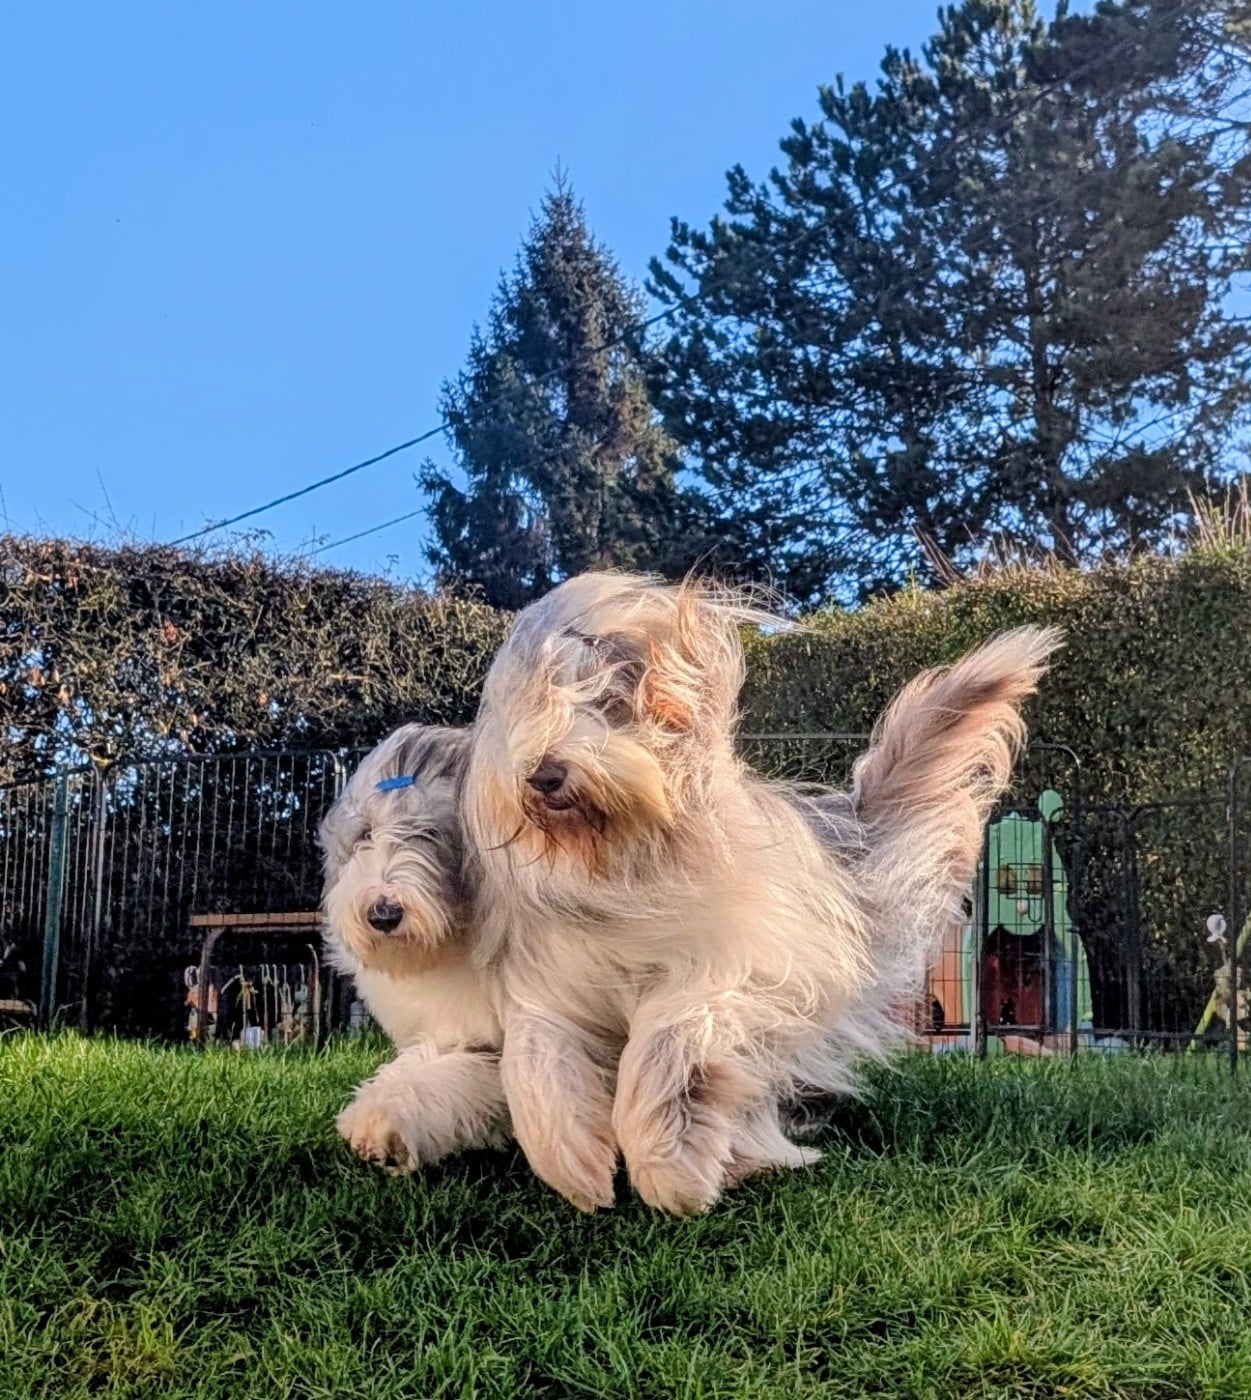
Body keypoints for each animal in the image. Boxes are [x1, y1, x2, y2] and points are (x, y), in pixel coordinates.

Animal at [464, 572, 1059, 1214]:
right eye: (533, 705)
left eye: (610, 705)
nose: (544, 775)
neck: (622, 862)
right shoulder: (558, 983)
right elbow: (533, 1061)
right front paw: (572, 1160)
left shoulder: (744, 972)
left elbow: (669, 1042)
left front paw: (668, 1163)